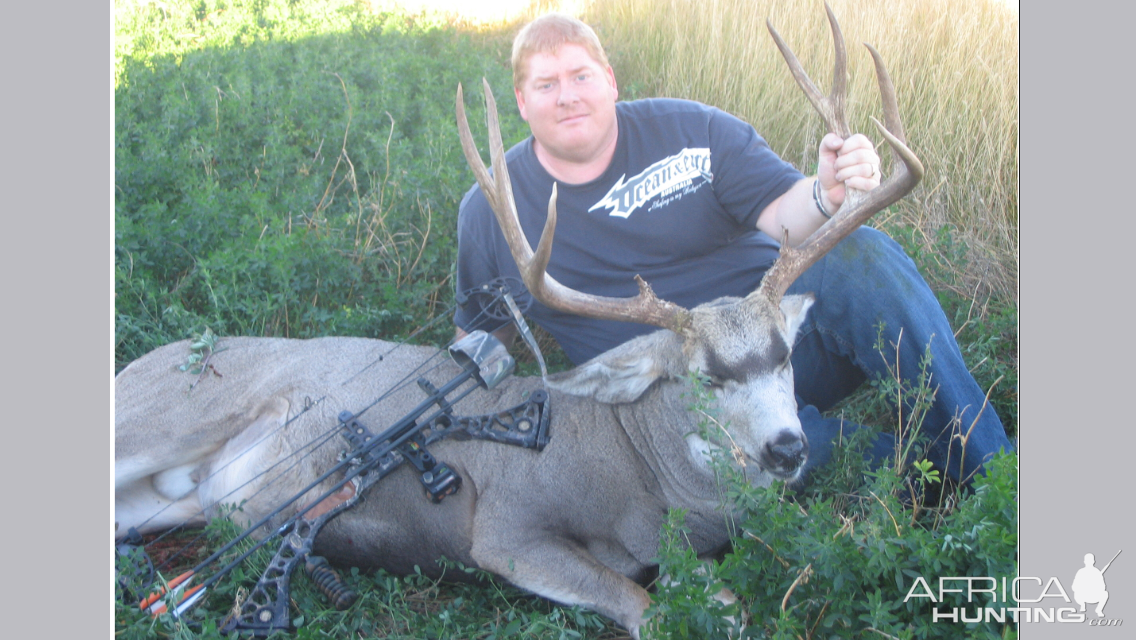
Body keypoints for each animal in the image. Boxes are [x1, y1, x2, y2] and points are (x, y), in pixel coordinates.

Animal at [110, 5, 917, 636]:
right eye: (703, 377)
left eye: (784, 353)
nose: (786, 448)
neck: (643, 478)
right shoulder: (504, 527)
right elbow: (645, 605)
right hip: (154, 418)